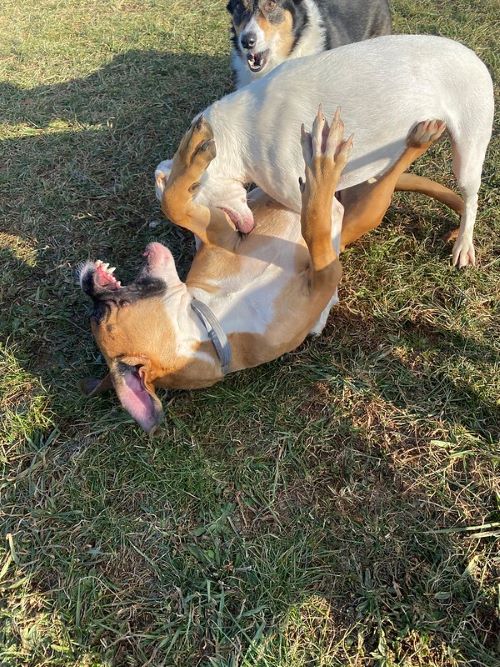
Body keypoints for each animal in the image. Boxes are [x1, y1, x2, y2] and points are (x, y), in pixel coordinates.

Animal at [81, 111, 454, 434]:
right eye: (101, 316)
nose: (87, 282)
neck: (208, 319)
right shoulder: (323, 277)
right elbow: (314, 226)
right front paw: (320, 172)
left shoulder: (220, 233)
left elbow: (173, 202)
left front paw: (190, 153)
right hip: (367, 212)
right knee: (378, 185)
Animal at [158, 34, 494, 268]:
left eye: (192, 195)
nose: (202, 248)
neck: (238, 134)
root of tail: (475, 58)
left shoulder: (319, 204)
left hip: (467, 158)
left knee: (471, 198)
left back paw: (464, 246)